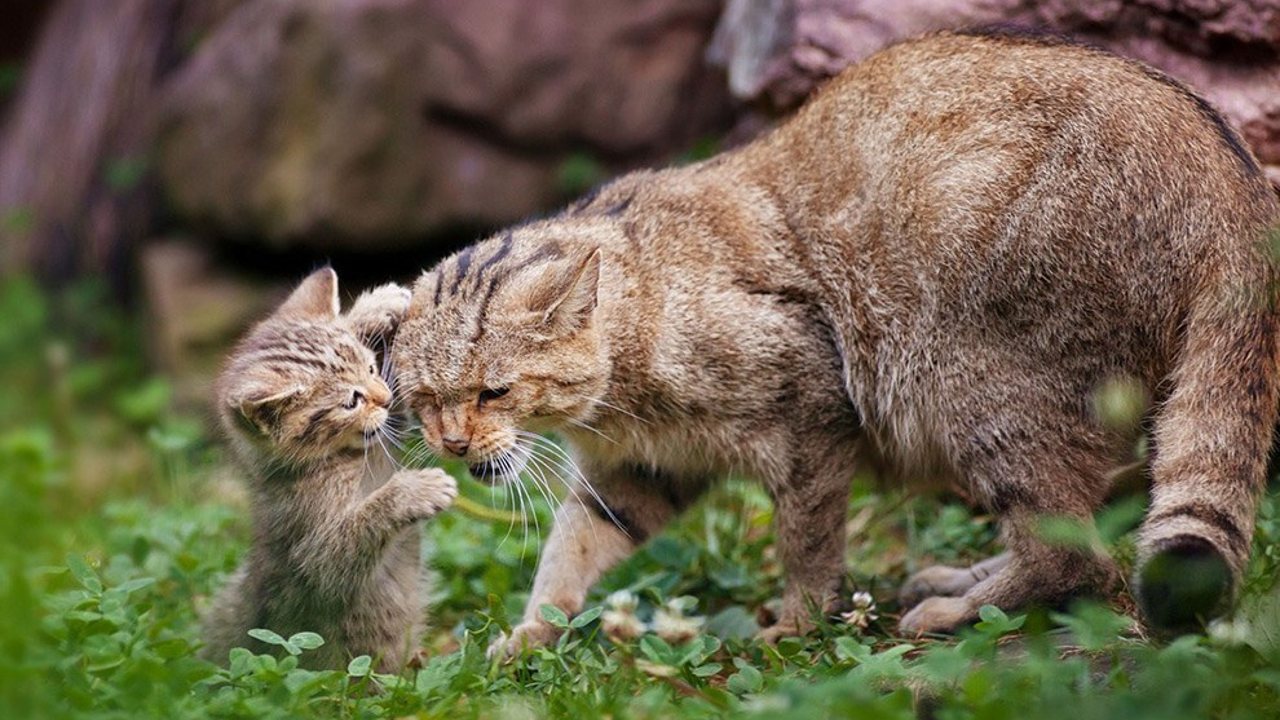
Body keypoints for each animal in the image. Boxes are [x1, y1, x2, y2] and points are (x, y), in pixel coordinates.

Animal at [202, 266, 458, 671]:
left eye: (371, 367)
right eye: (351, 401)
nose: (384, 396)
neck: (340, 459)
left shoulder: (387, 431)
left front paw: (374, 308)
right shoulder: (314, 552)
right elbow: (350, 540)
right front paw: (415, 491)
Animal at [389, 28, 1280, 650]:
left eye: (494, 390)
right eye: (425, 400)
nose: (455, 445)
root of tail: (1234, 177)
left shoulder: (810, 416)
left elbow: (808, 541)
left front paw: (799, 621)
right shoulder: (638, 474)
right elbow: (570, 552)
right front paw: (530, 634)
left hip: (977, 385)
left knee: (1076, 553)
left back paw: (954, 610)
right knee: (1093, 518)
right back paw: (960, 578)